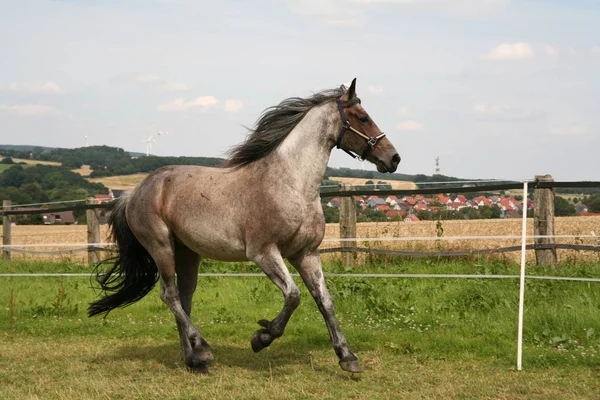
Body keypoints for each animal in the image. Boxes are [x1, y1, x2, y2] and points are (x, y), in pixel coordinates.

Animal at [88, 79, 398, 376]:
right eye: (363, 117)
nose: (394, 158)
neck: (290, 184)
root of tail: (133, 193)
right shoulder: (263, 253)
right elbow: (294, 296)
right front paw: (262, 337)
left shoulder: (306, 254)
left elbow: (325, 301)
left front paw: (348, 358)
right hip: (161, 246)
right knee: (170, 295)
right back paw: (202, 349)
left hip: (187, 253)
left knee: (184, 299)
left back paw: (194, 361)